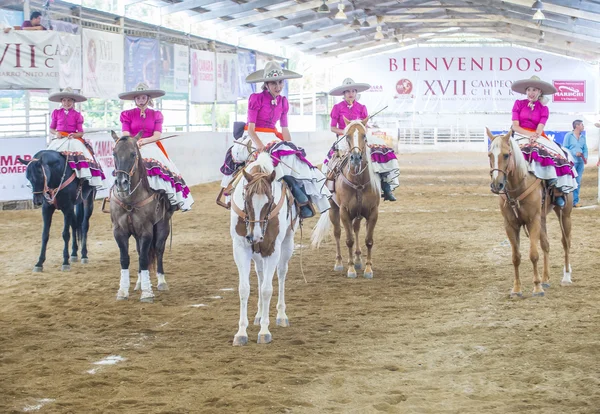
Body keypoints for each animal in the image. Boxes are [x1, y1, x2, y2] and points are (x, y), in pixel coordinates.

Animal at [110, 131, 172, 302]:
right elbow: (125, 259)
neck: (130, 200)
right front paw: (122, 291)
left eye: (133, 154)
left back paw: (161, 282)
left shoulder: (146, 231)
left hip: (163, 226)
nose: (121, 183)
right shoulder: (119, 231)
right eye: (114, 153)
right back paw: (138, 283)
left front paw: (147, 293)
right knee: (139, 252)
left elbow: (144, 259)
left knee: (159, 250)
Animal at [230, 152, 298, 346]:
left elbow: (268, 289)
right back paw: (259, 315)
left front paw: (264, 331)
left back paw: (281, 315)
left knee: (281, 273)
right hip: (257, 253)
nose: (256, 236)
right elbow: (244, 288)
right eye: (246, 199)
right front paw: (241, 333)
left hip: (287, 243)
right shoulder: (241, 248)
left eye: (270, 202)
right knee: (260, 276)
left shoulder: (272, 249)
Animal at [312, 116, 382, 278]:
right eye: (348, 136)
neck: (359, 182)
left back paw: (358, 259)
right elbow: (348, 240)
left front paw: (368, 269)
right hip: (334, 209)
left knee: (356, 229)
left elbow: (369, 240)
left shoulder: (373, 212)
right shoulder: (344, 212)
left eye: (364, 135)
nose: (356, 157)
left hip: (357, 214)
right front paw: (350, 269)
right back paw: (339, 262)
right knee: (337, 233)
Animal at [488, 129, 572, 298]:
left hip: (564, 214)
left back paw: (566, 277)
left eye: (506, 155)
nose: (496, 184)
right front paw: (516, 289)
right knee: (546, 245)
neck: (519, 184)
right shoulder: (510, 225)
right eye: (489, 155)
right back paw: (546, 278)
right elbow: (516, 257)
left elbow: (533, 254)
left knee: (566, 242)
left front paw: (537, 288)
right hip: (543, 218)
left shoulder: (533, 221)